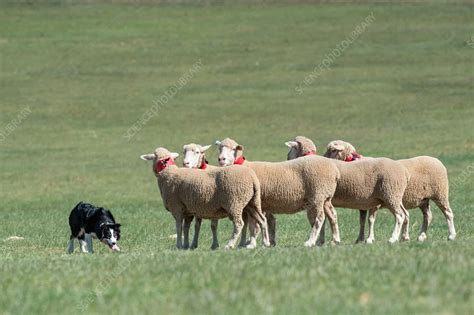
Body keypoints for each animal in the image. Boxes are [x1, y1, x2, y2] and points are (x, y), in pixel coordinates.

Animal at [140, 147, 270, 251]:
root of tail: (252, 177)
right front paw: (186, 245)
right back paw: (266, 243)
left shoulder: (176, 207)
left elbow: (178, 227)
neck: (168, 172)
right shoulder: (188, 210)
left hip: (234, 202)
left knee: (239, 224)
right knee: (262, 220)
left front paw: (179, 245)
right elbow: (186, 228)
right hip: (252, 202)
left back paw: (230, 244)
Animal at [322, 139, 456, 243]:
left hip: (439, 194)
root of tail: (437, 161)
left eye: (333, 150)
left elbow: (371, 220)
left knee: (448, 213)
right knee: (427, 216)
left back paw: (451, 235)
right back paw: (421, 236)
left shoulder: (373, 204)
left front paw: (370, 238)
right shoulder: (363, 203)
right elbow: (362, 221)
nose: (322, 159)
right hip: (423, 200)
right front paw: (360, 239)